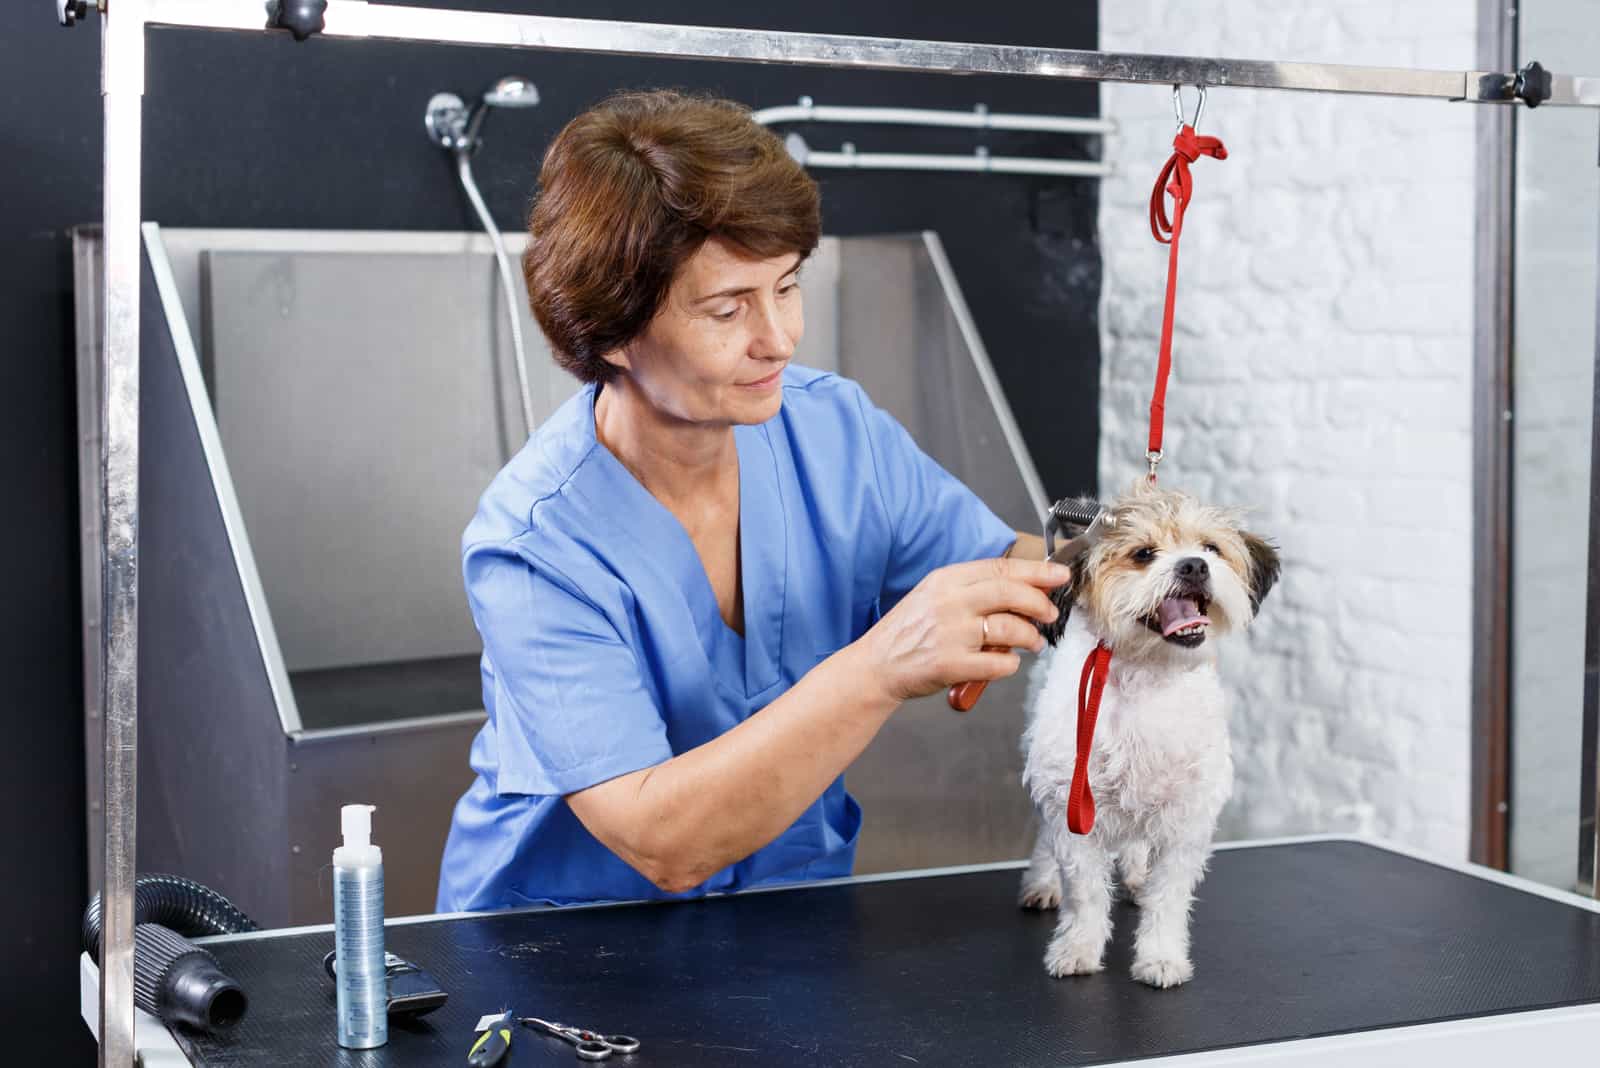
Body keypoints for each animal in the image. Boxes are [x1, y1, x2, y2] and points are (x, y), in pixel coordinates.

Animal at [1017, 479, 1280, 991]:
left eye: (1210, 547)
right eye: (1143, 554)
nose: (1194, 565)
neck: (1148, 676)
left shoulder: (1186, 818)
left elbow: (1169, 899)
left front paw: (1160, 957)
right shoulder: (1073, 805)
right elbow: (1085, 895)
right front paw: (1077, 949)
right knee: (1044, 837)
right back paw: (1042, 882)